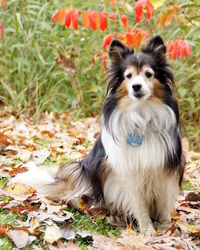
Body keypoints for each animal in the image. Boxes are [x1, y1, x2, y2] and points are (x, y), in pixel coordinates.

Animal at [12, 35, 184, 234]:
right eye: (128, 76)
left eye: (149, 74)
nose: (136, 86)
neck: (141, 116)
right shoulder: (127, 172)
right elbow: (139, 205)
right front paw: (148, 230)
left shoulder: (164, 169)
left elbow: (164, 202)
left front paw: (167, 228)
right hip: (80, 170)